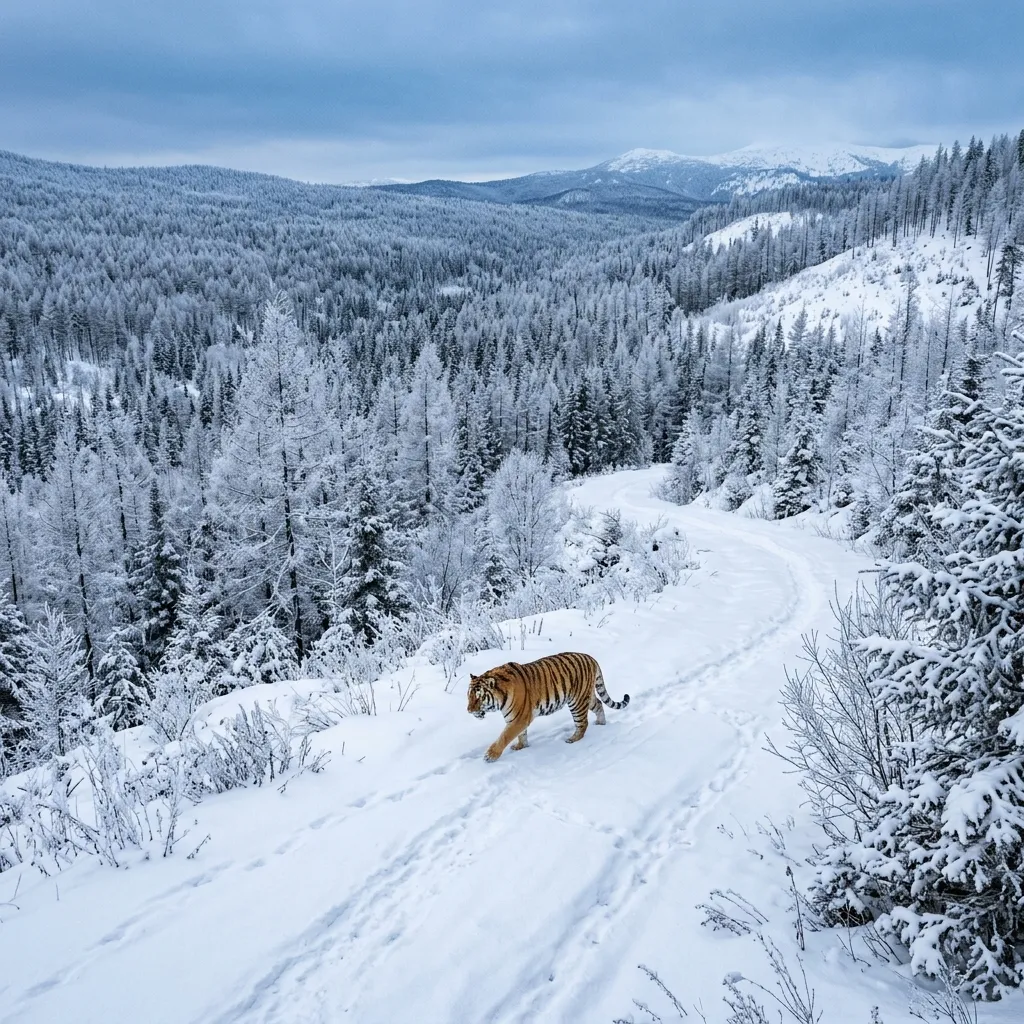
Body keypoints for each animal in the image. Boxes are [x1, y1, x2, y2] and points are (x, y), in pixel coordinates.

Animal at [467, 651, 629, 762]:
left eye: (479, 697)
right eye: (468, 696)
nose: (468, 711)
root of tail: (590, 657)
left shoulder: (519, 718)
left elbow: (504, 736)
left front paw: (490, 756)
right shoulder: (517, 718)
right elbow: (521, 734)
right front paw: (521, 746)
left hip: (577, 702)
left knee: (582, 723)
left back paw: (573, 739)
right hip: (586, 697)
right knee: (599, 704)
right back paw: (601, 723)